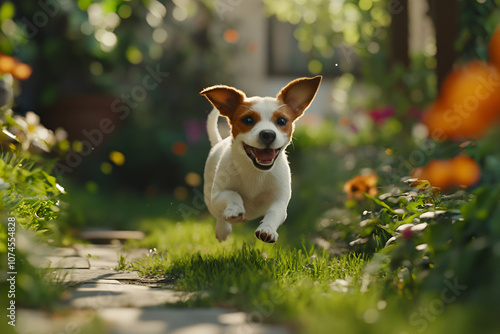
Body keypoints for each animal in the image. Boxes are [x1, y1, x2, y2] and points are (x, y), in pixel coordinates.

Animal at [199, 75, 320, 243]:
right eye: (248, 120)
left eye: (282, 121)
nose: (268, 134)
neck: (255, 171)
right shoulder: (217, 195)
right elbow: (232, 195)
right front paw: (234, 209)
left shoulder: (280, 201)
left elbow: (275, 212)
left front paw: (267, 229)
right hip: (209, 198)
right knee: (219, 215)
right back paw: (223, 228)